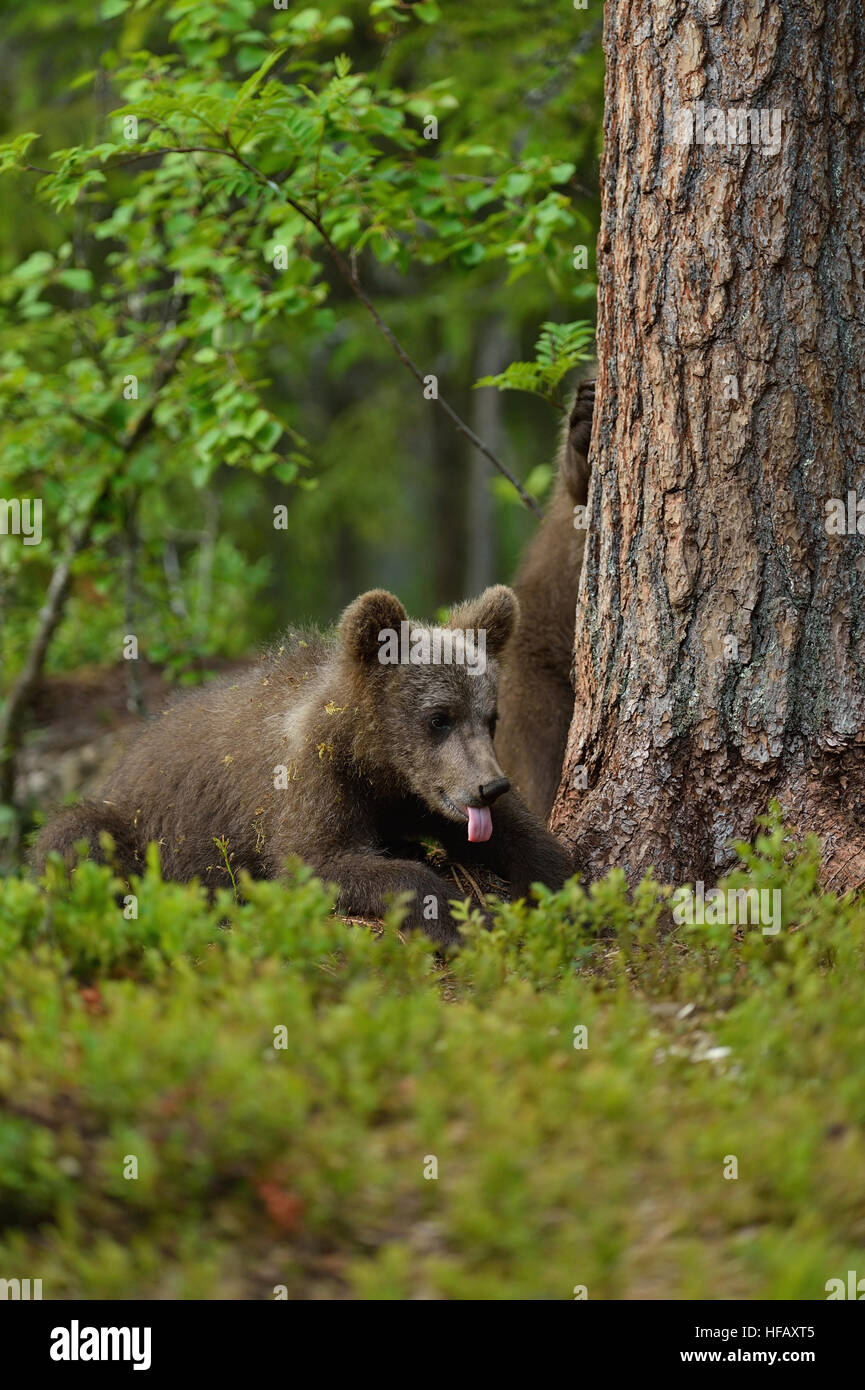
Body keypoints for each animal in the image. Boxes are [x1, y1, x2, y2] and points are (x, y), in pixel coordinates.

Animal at [34, 585, 572, 948]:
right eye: (439, 717)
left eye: (490, 717)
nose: (490, 786)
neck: (371, 759)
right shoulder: (309, 782)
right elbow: (318, 862)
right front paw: (462, 920)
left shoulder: (411, 794)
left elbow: (520, 838)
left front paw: (566, 882)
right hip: (132, 824)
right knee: (75, 837)